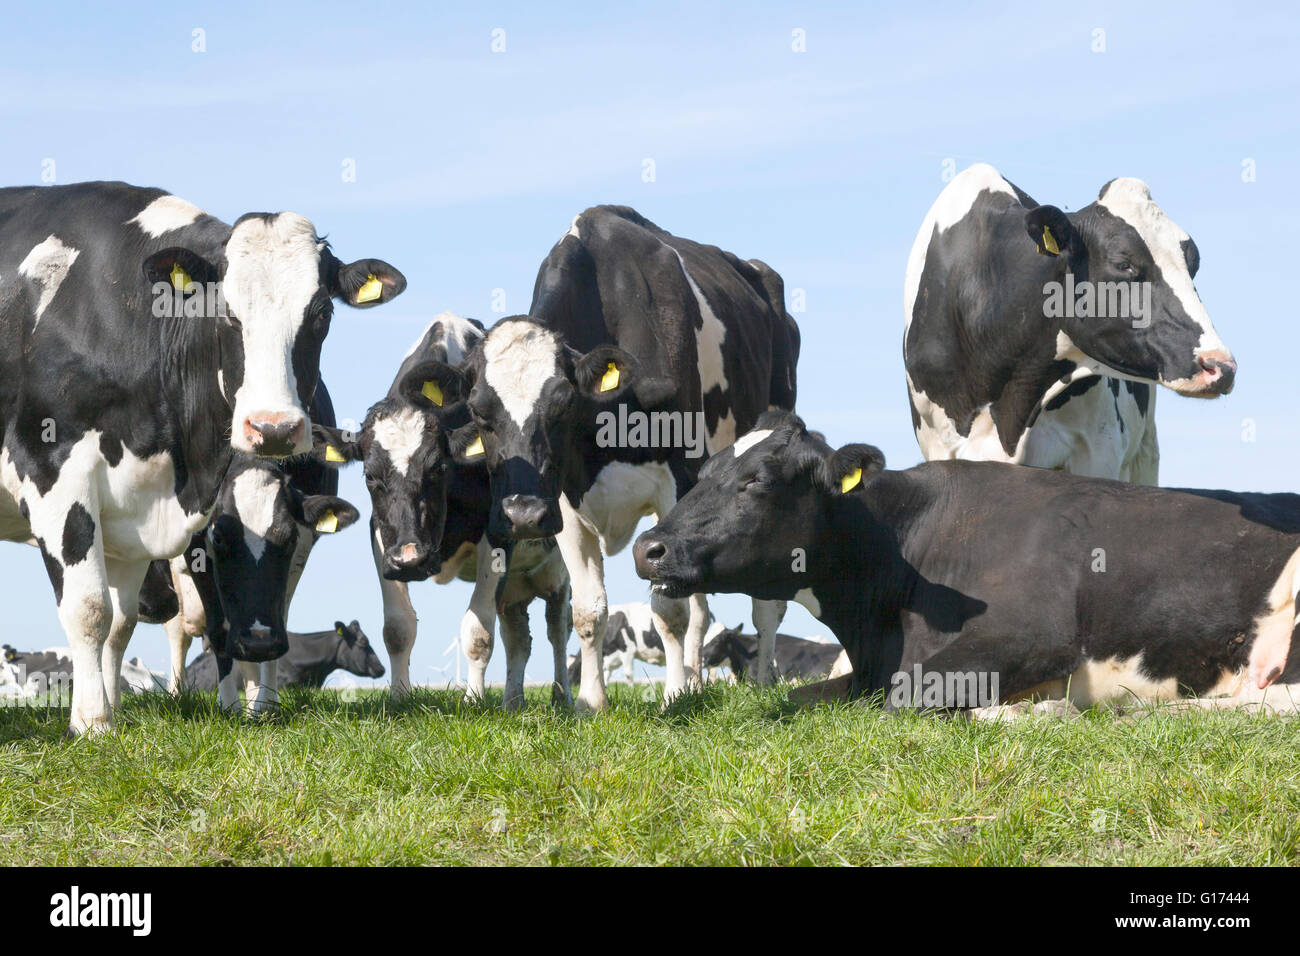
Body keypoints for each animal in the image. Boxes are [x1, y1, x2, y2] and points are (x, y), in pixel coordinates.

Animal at [314, 312, 574, 709]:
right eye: (370, 475)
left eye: (437, 467)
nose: (411, 559)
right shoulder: (382, 538)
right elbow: (397, 628)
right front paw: (400, 699)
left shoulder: (498, 531)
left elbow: (478, 632)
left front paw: (473, 700)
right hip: (515, 586)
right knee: (519, 635)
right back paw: (512, 703)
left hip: (557, 569)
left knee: (558, 626)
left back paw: (564, 699)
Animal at [419, 206, 801, 711]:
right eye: (481, 412)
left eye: (562, 404)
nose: (522, 515)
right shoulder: (563, 501)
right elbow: (588, 610)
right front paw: (590, 702)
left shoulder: (677, 480)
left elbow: (668, 609)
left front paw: (672, 696)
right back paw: (697, 679)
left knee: (765, 608)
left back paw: (759, 679)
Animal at [634, 411, 1300, 714]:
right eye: (706, 471)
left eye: (758, 480)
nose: (648, 548)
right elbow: (803, 698)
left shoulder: (1035, 633)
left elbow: (906, 695)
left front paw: (1044, 708)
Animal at [904, 163, 1235, 484]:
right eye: (1123, 264)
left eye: (1193, 265)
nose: (1221, 366)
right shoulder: (939, 445)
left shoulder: (1101, 447)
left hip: (1145, 451)